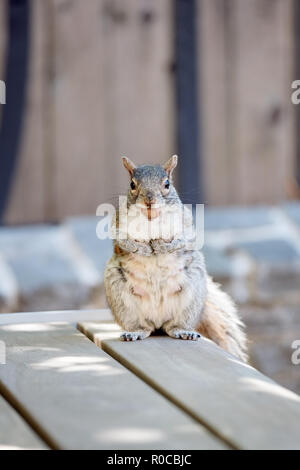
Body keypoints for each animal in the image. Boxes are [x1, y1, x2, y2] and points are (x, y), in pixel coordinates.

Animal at [104, 156, 247, 362]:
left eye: (167, 184)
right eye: (132, 185)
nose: (149, 200)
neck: (151, 220)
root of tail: (157, 321)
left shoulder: (186, 223)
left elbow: (182, 239)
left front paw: (161, 246)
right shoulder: (118, 224)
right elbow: (123, 241)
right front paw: (143, 248)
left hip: (191, 296)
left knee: (173, 326)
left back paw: (182, 331)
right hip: (121, 299)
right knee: (143, 327)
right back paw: (135, 332)